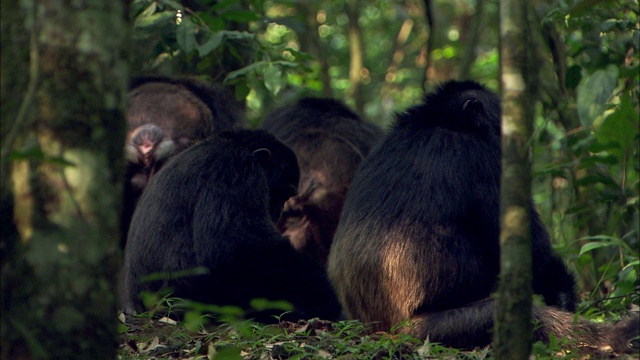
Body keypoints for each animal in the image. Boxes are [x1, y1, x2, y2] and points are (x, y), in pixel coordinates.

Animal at [328, 80, 636, 352]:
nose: (515, 141)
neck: (443, 121)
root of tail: (380, 331)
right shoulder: (485, 160)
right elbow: (532, 249)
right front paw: (561, 291)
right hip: (433, 330)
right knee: (525, 317)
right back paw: (617, 335)